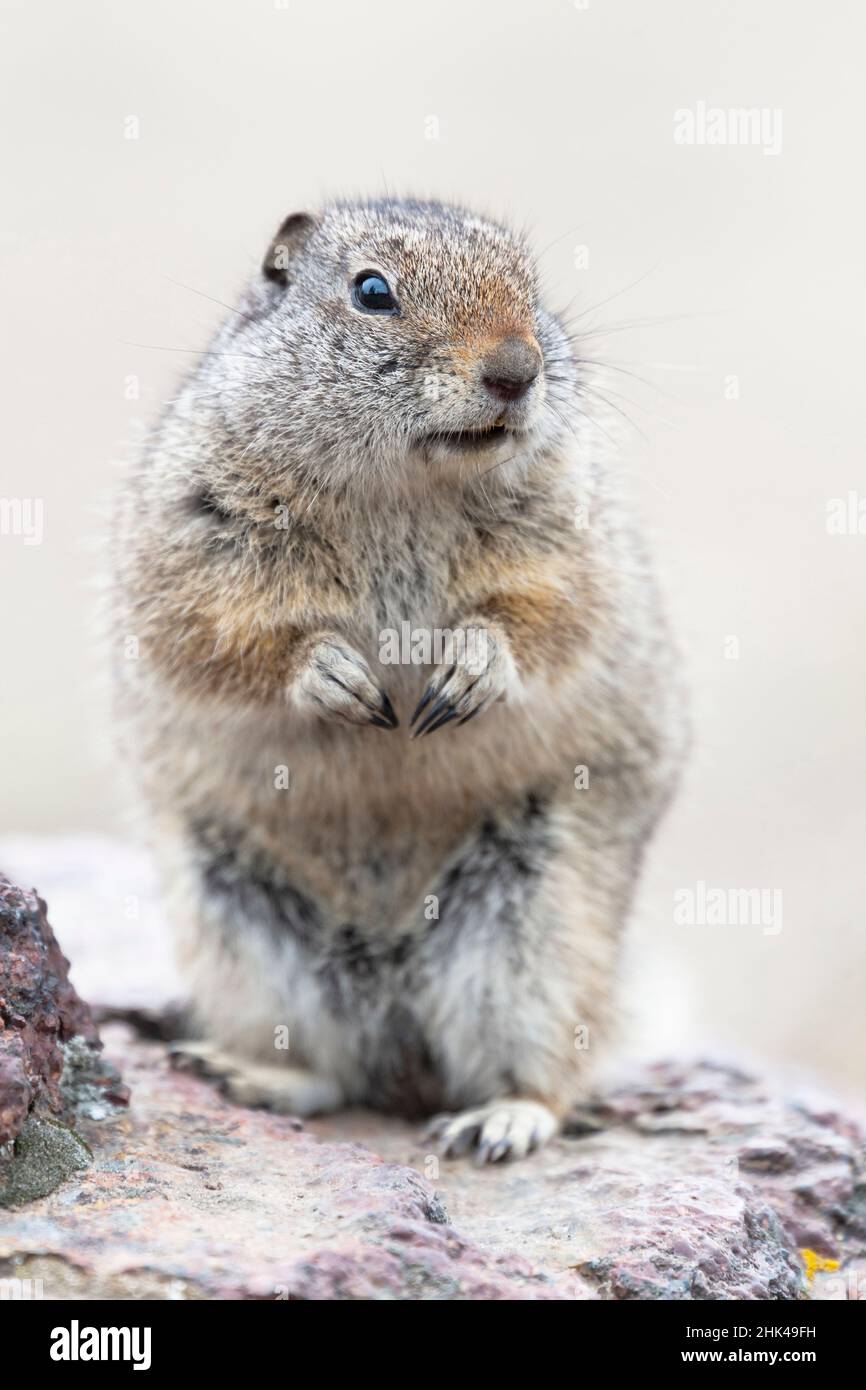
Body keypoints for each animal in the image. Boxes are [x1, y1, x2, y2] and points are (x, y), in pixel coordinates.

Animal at [113, 197, 686, 1162]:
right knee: (337, 1073)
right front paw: (334, 677)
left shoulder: (571, 543)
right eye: (372, 291)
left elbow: (549, 616)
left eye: (532, 286)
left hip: (538, 930)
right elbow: (216, 634)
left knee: (541, 1069)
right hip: (238, 925)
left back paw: (503, 1120)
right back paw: (249, 1074)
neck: (405, 488)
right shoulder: (192, 539)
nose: (517, 369)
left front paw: (470, 670)